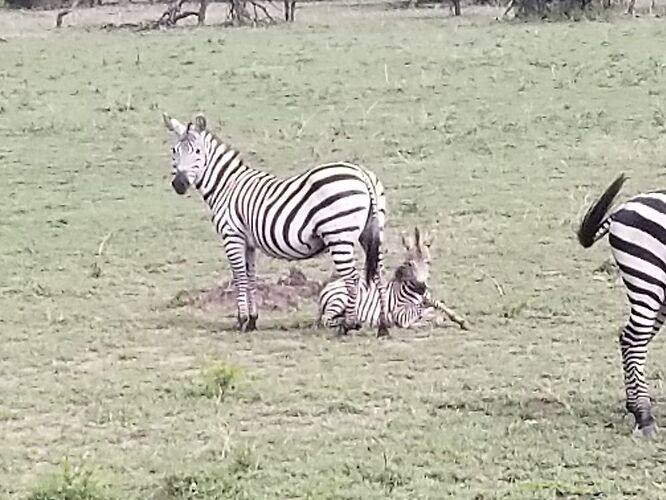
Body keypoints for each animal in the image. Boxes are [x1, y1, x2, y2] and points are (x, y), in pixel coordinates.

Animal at [161, 112, 390, 336]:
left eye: (198, 151)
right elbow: (251, 277)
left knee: (352, 278)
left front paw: (241, 321)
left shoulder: (232, 236)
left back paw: (349, 324)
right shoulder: (249, 242)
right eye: (174, 151)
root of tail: (362, 174)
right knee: (379, 273)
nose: (179, 184)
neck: (227, 186)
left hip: (338, 235)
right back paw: (383, 325)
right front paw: (252, 321)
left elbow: (239, 277)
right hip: (372, 232)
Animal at [318, 228, 466, 332]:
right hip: (340, 300)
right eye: (410, 264)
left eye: (428, 262)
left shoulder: (428, 298)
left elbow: (442, 306)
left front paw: (460, 320)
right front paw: (430, 317)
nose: (421, 287)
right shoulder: (401, 313)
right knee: (326, 319)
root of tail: (328, 286)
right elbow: (420, 313)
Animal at [576, 173, 664, 438]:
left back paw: (634, 408)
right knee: (634, 340)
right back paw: (644, 417)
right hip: (647, 279)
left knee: (629, 339)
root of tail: (624, 208)